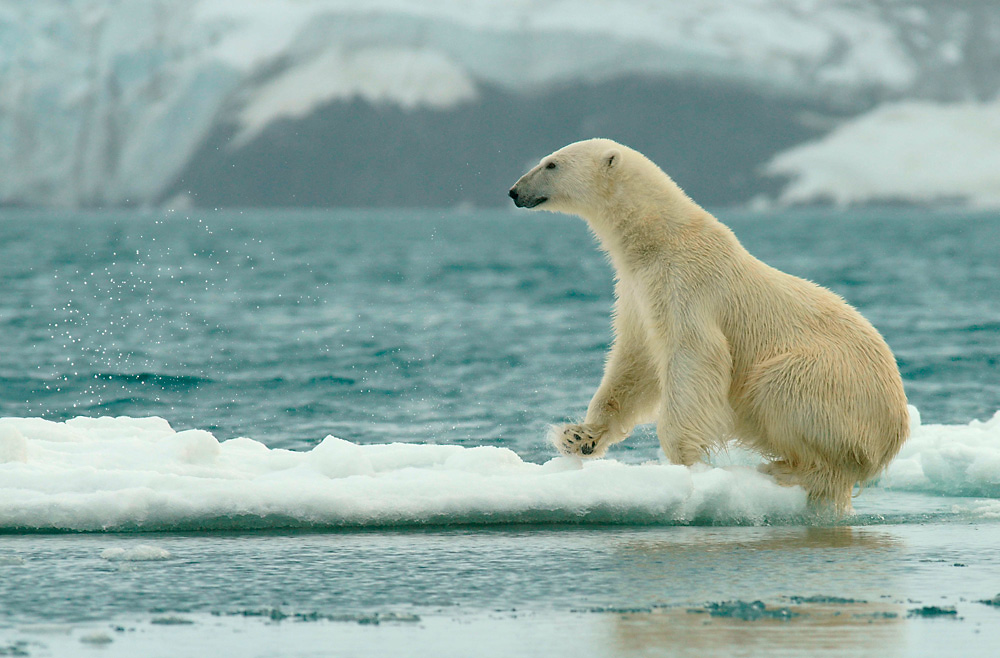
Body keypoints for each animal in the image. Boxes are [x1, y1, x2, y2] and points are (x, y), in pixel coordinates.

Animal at [512, 136, 912, 510]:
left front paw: (685, 460)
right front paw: (580, 436)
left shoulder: (687, 285)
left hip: (835, 389)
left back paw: (787, 469)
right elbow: (635, 362)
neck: (659, 239)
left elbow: (694, 358)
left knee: (780, 387)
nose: (514, 191)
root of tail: (891, 440)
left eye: (551, 164)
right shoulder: (638, 293)